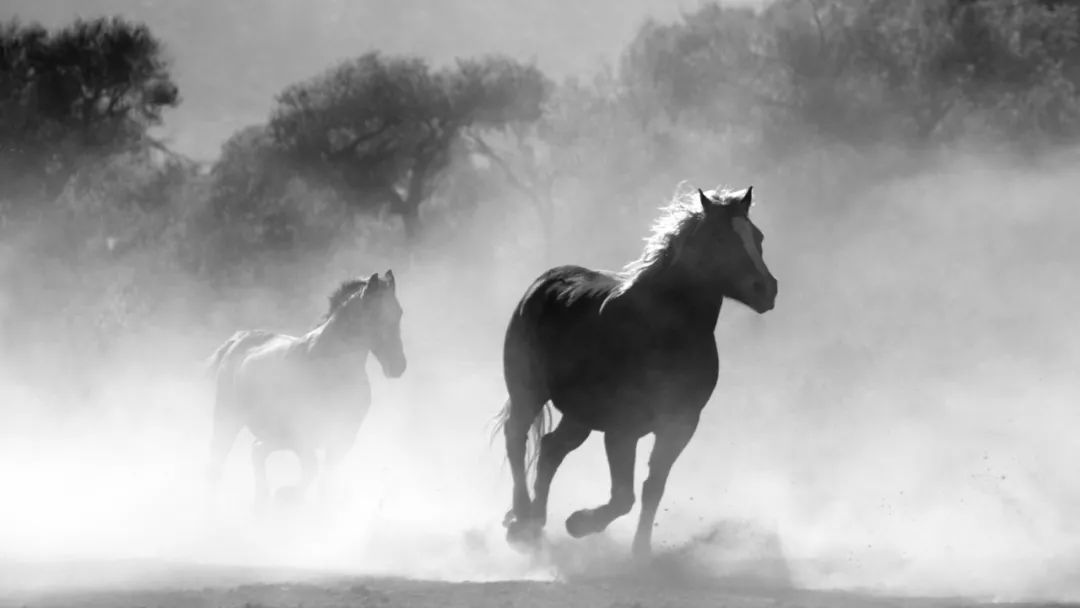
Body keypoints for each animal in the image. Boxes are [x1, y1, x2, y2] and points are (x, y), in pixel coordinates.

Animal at [205, 271, 406, 509]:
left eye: (399, 312)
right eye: (374, 314)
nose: (398, 366)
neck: (334, 370)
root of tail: (238, 340)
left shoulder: (342, 439)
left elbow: (325, 483)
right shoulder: (303, 436)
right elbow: (312, 470)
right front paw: (287, 495)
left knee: (257, 451)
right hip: (227, 419)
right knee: (219, 461)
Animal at [496, 186, 777, 561]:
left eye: (757, 236)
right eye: (720, 237)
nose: (767, 289)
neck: (663, 330)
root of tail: (543, 283)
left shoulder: (680, 425)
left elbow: (652, 488)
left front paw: (640, 552)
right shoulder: (622, 428)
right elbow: (623, 497)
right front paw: (579, 523)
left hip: (580, 415)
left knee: (551, 448)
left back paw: (536, 522)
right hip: (528, 392)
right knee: (517, 438)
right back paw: (521, 521)